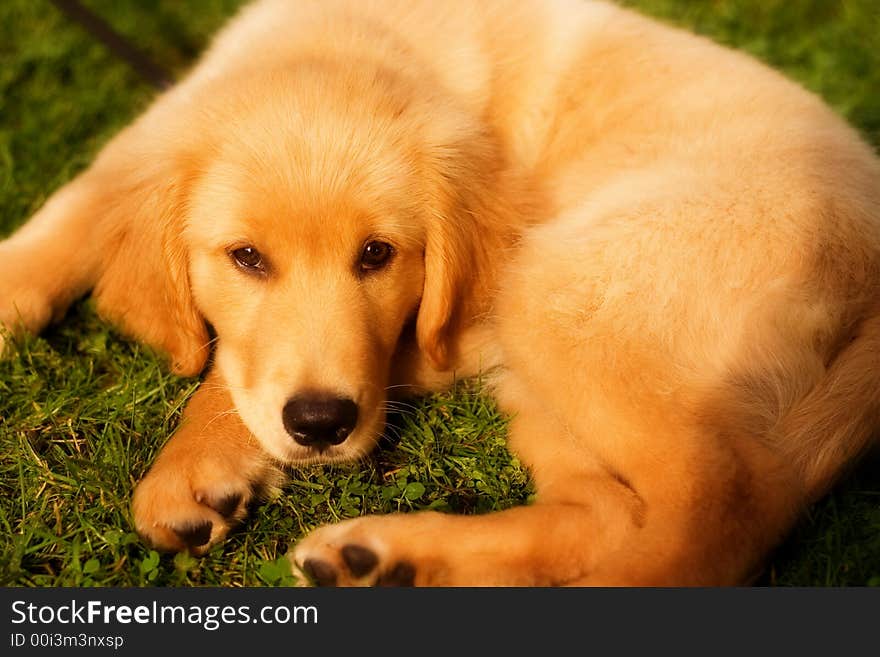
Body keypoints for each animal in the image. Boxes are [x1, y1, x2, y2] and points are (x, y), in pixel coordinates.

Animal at [1, 0, 880, 584]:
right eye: (245, 257)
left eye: (378, 255)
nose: (321, 425)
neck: (353, 37)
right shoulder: (155, 129)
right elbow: (81, 200)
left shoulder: (446, 326)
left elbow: (251, 367)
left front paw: (195, 460)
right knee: (605, 511)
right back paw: (380, 557)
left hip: (556, 288)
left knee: (726, 496)